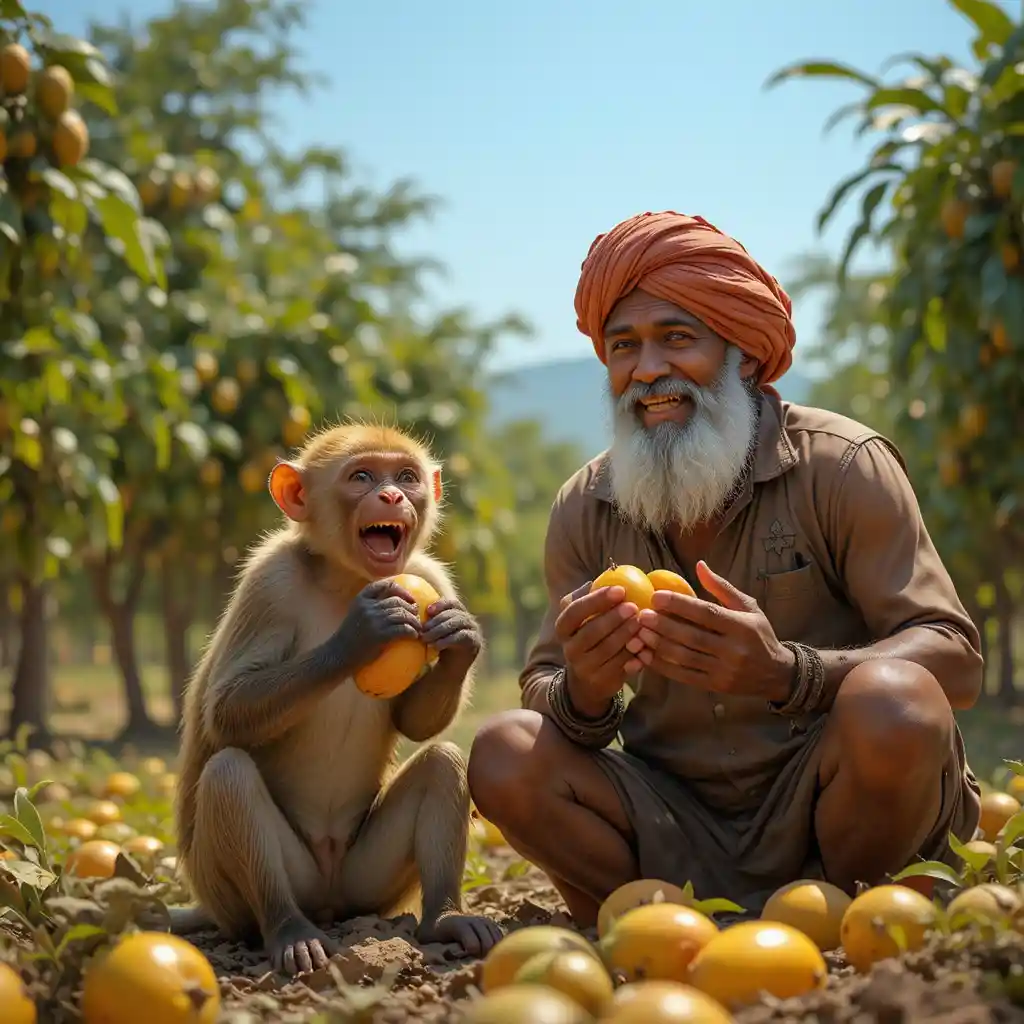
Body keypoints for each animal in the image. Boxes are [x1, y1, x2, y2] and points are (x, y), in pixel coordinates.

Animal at [169, 422, 503, 975]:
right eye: (362, 476)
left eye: (406, 477)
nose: (391, 495)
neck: (347, 579)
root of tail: (328, 900)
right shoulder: (270, 581)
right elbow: (226, 710)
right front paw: (359, 634)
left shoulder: (431, 577)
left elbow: (416, 724)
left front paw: (461, 639)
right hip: (233, 894)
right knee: (228, 774)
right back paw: (288, 929)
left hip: (365, 884)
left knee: (443, 761)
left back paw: (443, 918)